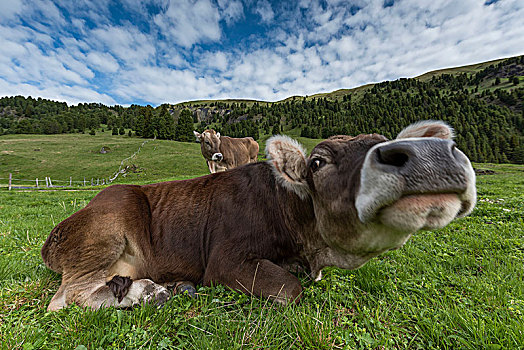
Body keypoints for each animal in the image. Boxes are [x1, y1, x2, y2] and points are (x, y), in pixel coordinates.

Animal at [41, 121, 474, 312]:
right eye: (317, 162)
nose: (427, 154)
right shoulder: (224, 260)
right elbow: (289, 289)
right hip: (108, 225)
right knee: (65, 299)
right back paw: (147, 292)